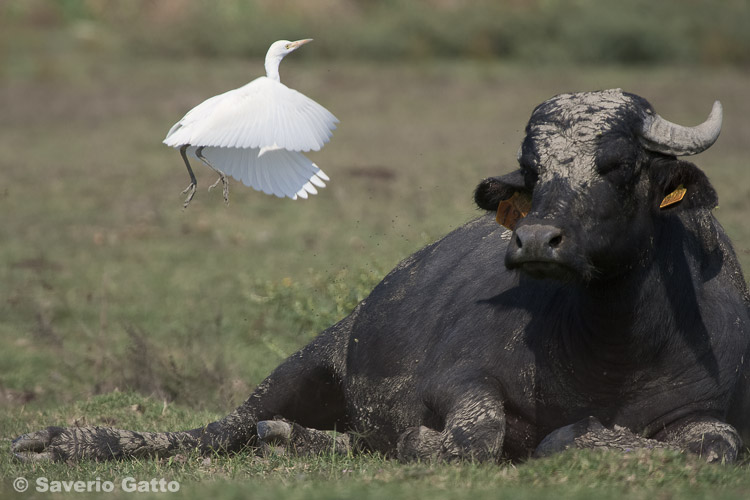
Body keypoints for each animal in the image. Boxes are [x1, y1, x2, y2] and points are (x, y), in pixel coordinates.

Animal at [13, 88, 750, 462]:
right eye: (532, 170)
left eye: (619, 164)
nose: (536, 240)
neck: (611, 350)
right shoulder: (459, 378)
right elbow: (472, 437)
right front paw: (429, 441)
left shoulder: (708, 414)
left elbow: (713, 447)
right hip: (309, 358)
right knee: (219, 429)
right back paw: (60, 441)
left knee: (297, 435)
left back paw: (290, 438)